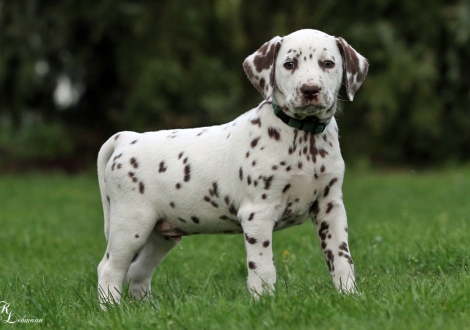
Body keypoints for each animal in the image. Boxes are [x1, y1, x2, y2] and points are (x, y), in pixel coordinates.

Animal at [96, 29, 368, 304]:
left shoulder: (330, 208)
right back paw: (112, 307)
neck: (303, 136)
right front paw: (264, 302)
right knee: (110, 268)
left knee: (137, 271)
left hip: (161, 234)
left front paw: (349, 295)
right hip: (131, 224)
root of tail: (127, 138)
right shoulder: (257, 214)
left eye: (328, 63)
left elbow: (341, 258)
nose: (310, 89)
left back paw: (146, 307)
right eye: (289, 64)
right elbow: (263, 267)